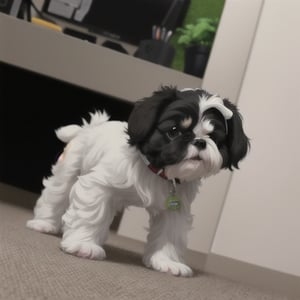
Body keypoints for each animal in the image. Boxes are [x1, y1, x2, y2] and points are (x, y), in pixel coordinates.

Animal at [27, 86, 250, 276]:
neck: (154, 171)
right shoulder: (98, 186)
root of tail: (91, 127)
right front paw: (84, 245)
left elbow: (171, 233)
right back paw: (44, 224)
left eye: (215, 138)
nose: (200, 142)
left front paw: (167, 262)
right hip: (69, 169)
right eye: (174, 131)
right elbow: (92, 215)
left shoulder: (176, 209)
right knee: (56, 194)